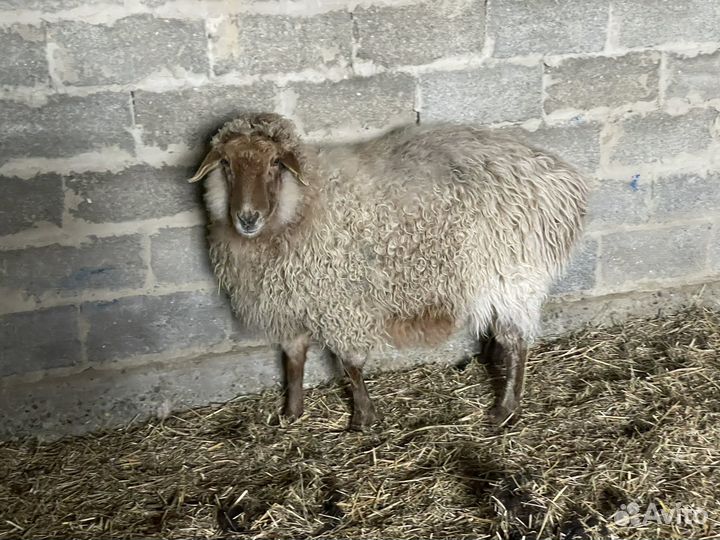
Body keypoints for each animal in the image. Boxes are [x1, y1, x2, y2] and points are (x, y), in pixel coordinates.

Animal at [189, 113, 588, 430]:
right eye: (226, 164)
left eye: (275, 163)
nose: (247, 218)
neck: (304, 204)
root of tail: (562, 178)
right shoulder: (289, 302)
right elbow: (294, 358)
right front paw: (292, 412)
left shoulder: (340, 301)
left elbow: (350, 364)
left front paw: (363, 418)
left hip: (514, 274)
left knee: (516, 340)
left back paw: (506, 408)